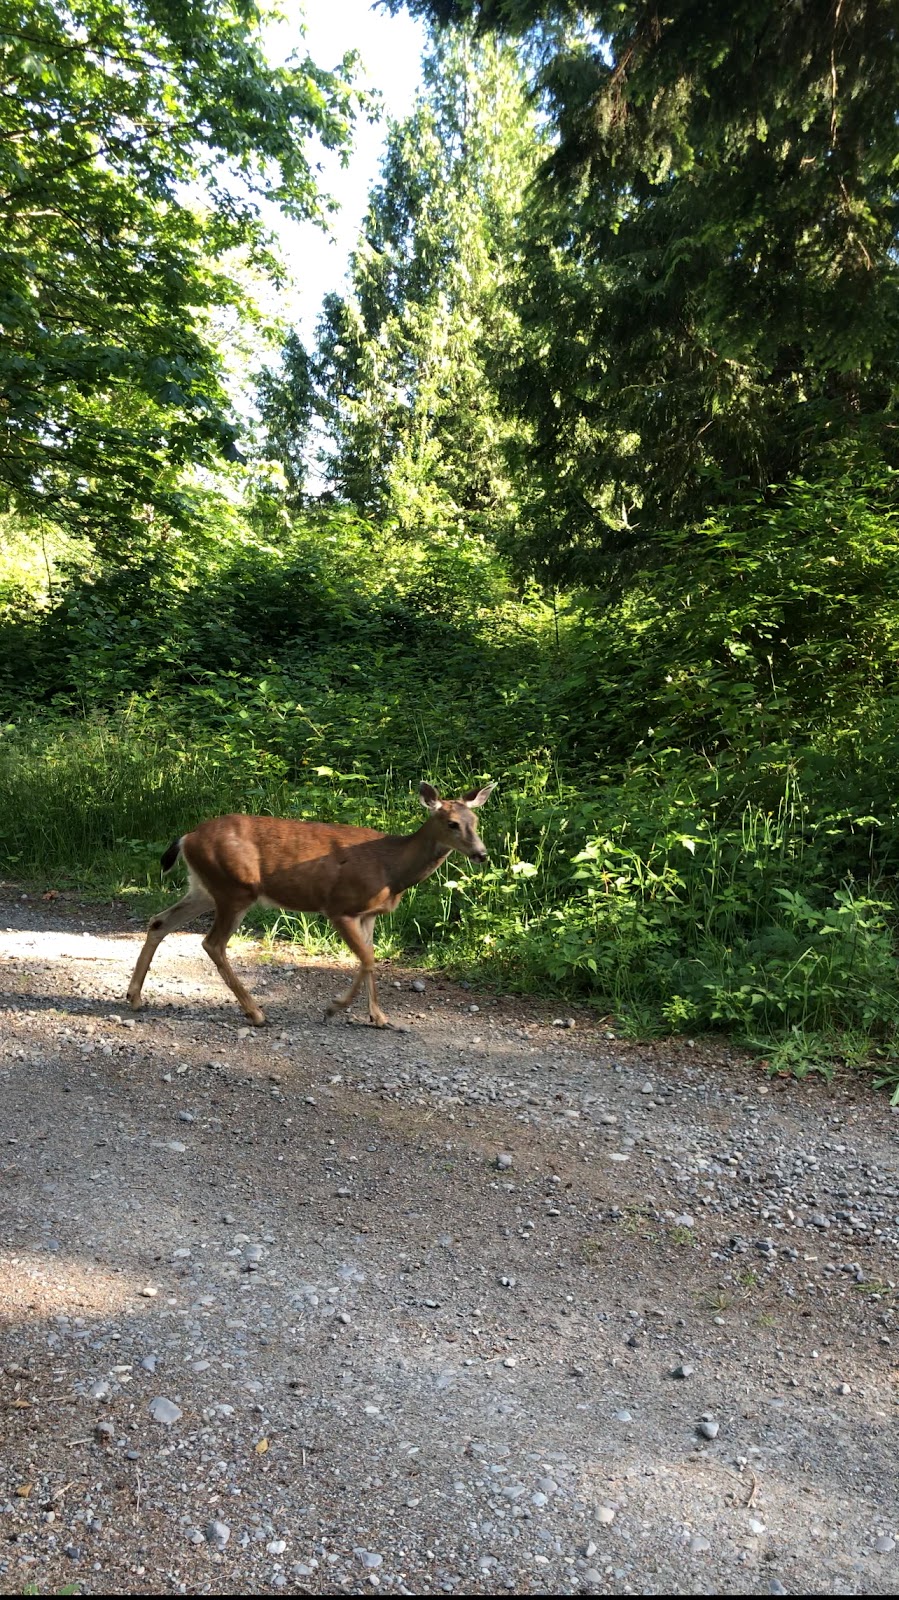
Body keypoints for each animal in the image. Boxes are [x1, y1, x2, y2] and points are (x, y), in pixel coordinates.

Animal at [123, 780, 492, 1030]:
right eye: (451, 823)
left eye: (475, 822)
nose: (482, 853)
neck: (392, 869)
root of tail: (187, 837)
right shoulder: (339, 906)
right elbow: (368, 959)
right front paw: (334, 1008)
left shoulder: (369, 914)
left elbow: (371, 958)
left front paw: (379, 1016)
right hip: (235, 888)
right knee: (213, 943)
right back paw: (256, 1012)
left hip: (204, 888)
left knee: (159, 922)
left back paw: (135, 997)